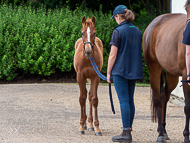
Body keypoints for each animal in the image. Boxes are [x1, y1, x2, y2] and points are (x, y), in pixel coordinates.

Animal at [143, 0, 190, 142]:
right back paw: (160, 134)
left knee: (164, 96)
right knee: (158, 99)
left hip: (172, 75)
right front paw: (187, 136)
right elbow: (187, 107)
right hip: (154, 69)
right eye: (186, 8)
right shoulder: (186, 76)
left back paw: (164, 130)